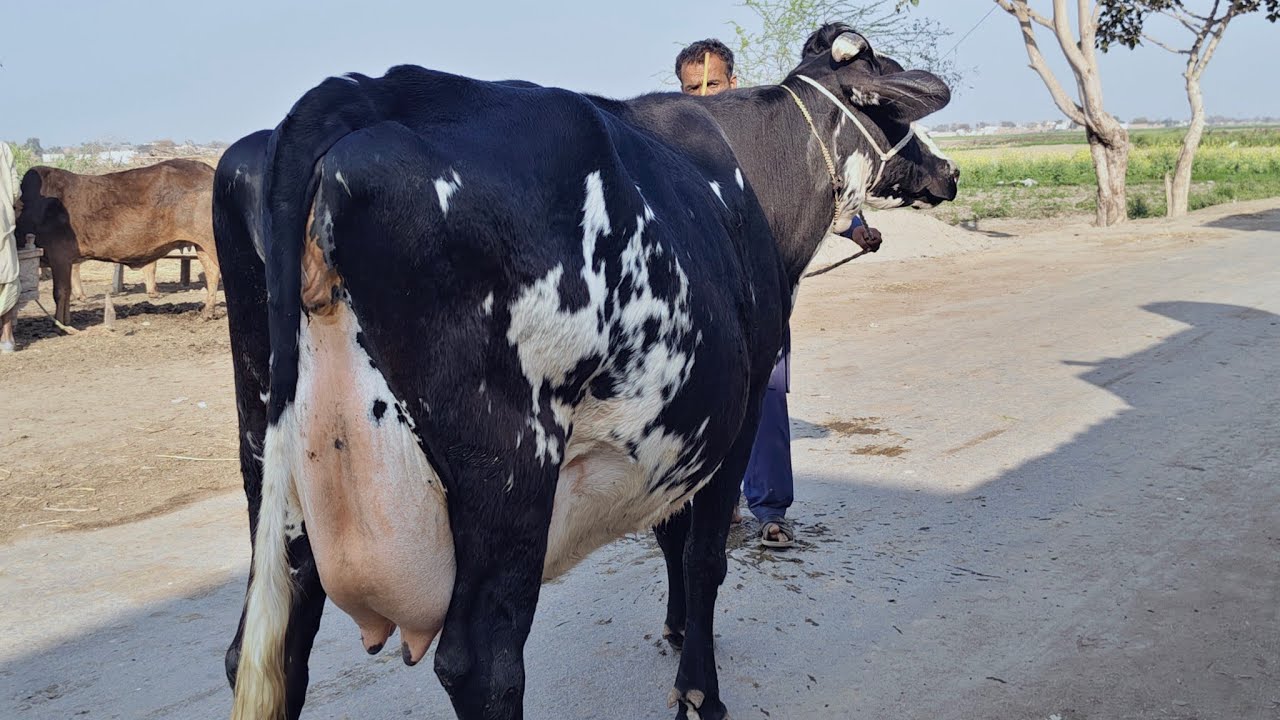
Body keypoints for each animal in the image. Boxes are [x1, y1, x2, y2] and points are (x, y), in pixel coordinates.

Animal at [14, 159, 221, 325]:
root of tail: (210, 172)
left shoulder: (60, 256)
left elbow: (60, 292)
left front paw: (60, 324)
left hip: (210, 242)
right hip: (202, 245)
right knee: (212, 273)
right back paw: (206, 313)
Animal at [217, 24, 957, 720]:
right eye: (890, 98)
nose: (947, 170)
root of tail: (362, 89)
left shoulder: (671, 426)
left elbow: (668, 532)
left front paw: (676, 629)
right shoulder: (736, 410)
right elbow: (704, 554)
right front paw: (700, 690)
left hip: (269, 460)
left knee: (266, 647)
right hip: (512, 468)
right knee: (483, 664)